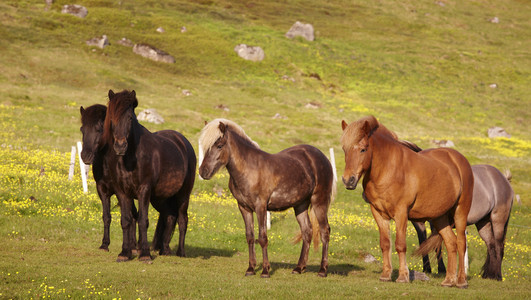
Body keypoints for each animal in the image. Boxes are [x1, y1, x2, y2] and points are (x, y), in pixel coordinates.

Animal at [79, 104, 138, 252]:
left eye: (100, 129)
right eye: (82, 129)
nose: (85, 156)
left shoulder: (120, 192)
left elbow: (127, 218)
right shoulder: (102, 191)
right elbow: (106, 217)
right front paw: (104, 244)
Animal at [102, 89, 197, 262]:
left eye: (130, 117)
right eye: (111, 117)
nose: (120, 146)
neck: (130, 157)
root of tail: (184, 142)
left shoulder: (144, 190)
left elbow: (142, 221)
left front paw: (145, 254)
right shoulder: (121, 192)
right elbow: (126, 221)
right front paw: (124, 253)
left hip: (183, 195)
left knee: (182, 220)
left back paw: (181, 252)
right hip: (160, 198)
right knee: (169, 216)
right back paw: (165, 249)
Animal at [197, 118, 334, 278]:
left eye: (219, 145)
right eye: (205, 147)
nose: (203, 171)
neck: (249, 169)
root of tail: (322, 157)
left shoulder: (260, 207)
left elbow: (262, 238)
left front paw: (265, 271)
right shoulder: (244, 208)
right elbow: (250, 237)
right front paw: (250, 269)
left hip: (319, 202)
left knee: (324, 231)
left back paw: (322, 270)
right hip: (300, 205)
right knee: (307, 232)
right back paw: (299, 268)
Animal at [340, 115, 474, 288]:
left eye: (363, 149)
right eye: (344, 149)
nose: (348, 180)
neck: (388, 170)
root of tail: (459, 159)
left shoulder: (401, 213)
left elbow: (400, 245)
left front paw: (403, 276)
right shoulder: (378, 213)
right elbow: (385, 244)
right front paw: (385, 275)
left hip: (460, 212)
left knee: (461, 243)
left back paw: (461, 281)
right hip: (439, 217)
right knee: (451, 243)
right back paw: (449, 280)